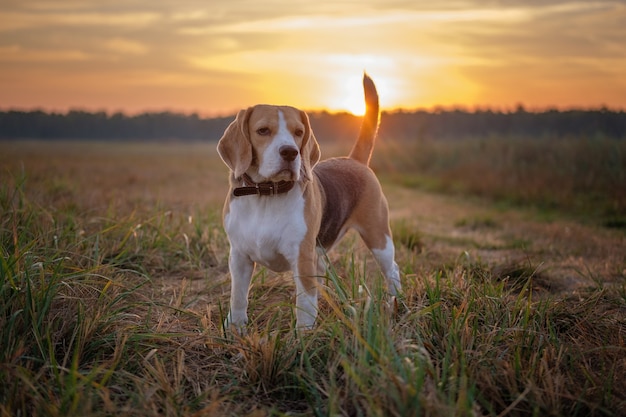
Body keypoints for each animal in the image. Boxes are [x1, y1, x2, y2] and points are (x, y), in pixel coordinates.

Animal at [217, 74, 398, 328]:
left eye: (298, 132)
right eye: (263, 130)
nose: (290, 152)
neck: (266, 194)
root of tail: (354, 161)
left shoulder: (302, 258)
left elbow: (303, 304)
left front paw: (303, 334)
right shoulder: (239, 257)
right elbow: (238, 296)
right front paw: (235, 327)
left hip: (379, 238)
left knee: (393, 270)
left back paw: (396, 303)